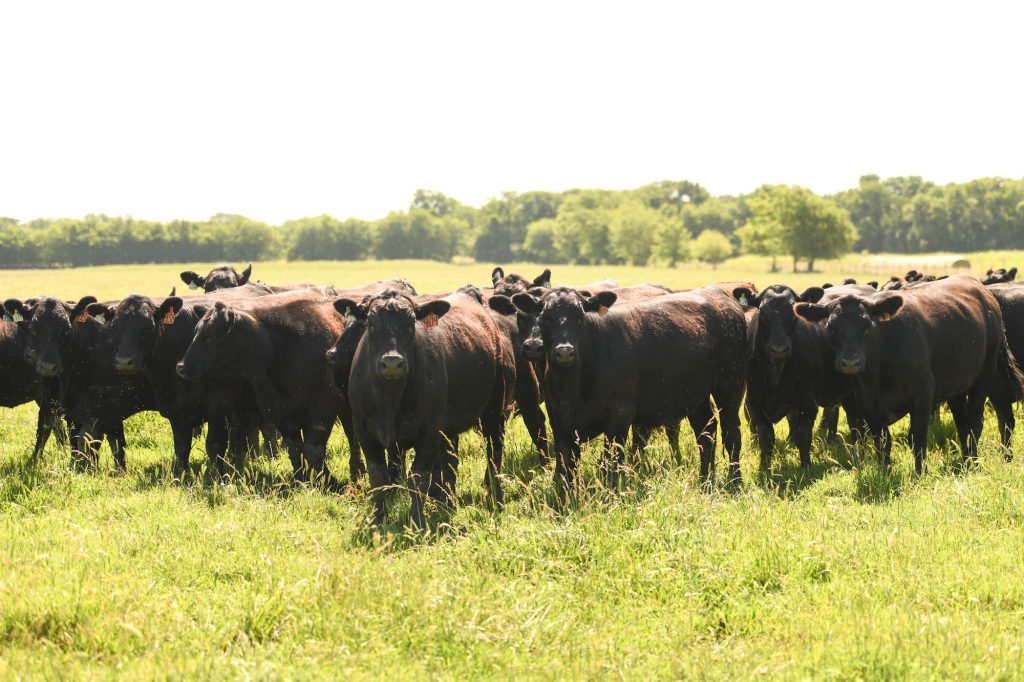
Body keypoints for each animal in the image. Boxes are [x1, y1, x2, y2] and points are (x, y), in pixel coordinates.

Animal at [338, 288, 515, 526]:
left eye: (411, 323)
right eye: (371, 322)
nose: (392, 362)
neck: (389, 399)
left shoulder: (429, 431)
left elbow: (418, 477)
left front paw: (417, 520)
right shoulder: (364, 431)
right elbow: (378, 476)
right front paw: (377, 518)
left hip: (493, 412)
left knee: (493, 454)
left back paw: (496, 501)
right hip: (449, 428)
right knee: (450, 461)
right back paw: (447, 503)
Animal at [510, 286, 747, 492]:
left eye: (580, 317)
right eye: (545, 317)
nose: (564, 352)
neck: (572, 388)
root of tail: (719, 294)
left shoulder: (620, 415)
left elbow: (610, 461)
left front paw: (610, 493)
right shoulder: (560, 420)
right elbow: (566, 465)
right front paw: (564, 496)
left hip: (730, 385)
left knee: (731, 433)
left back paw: (734, 481)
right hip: (696, 394)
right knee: (706, 432)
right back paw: (705, 480)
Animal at [794, 275, 1020, 473]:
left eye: (868, 326)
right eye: (832, 327)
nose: (850, 363)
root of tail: (983, 291)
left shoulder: (922, 395)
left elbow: (918, 438)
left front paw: (920, 474)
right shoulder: (868, 403)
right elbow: (882, 441)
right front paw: (883, 472)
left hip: (984, 376)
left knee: (975, 422)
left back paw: (974, 462)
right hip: (956, 386)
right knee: (963, 424)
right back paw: (966, 460)